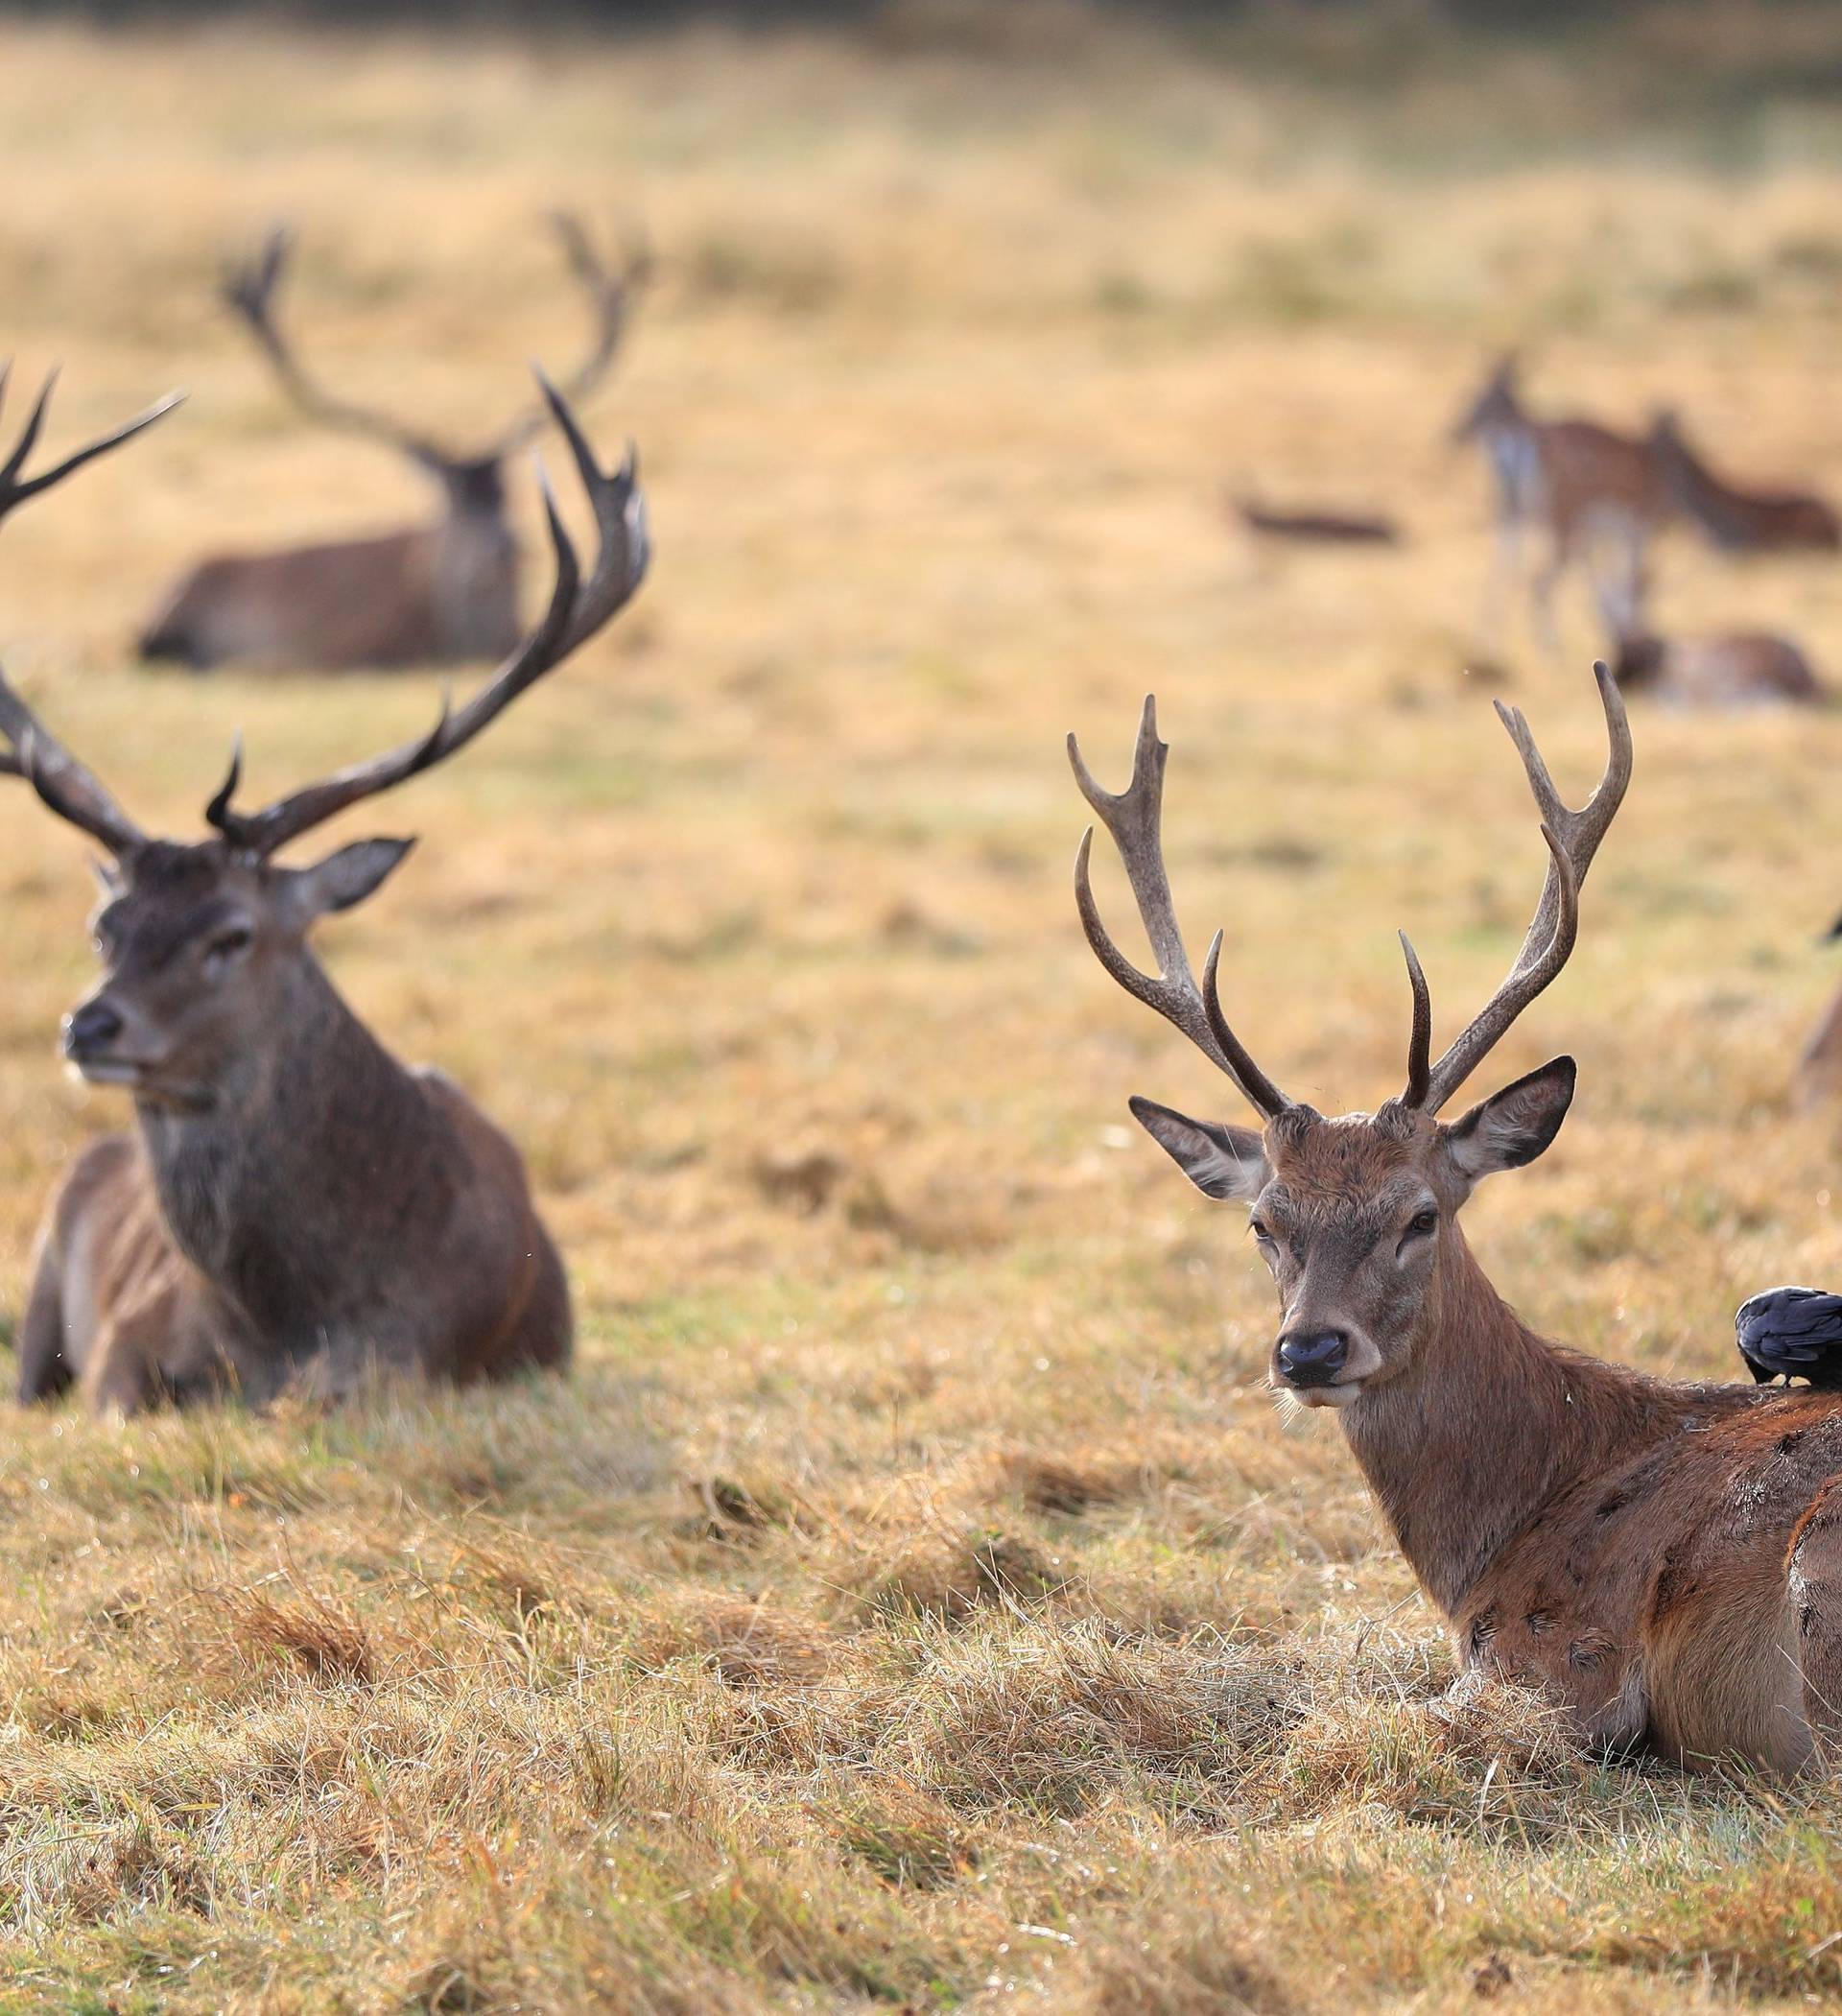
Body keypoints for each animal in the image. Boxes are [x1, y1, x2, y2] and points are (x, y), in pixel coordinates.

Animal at [7, 381, 649, 1419]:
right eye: (106, 926)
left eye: (232, 934)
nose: (90, 1026)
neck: (280, 1325)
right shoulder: (122, 1342)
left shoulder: (411, 1366)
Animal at [1458, 352, 1676, 652]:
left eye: (1485, 394)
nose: (1459, 429)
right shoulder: (1635, 526)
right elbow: (1623, 584)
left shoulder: (1600, 532)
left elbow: (1602, 581)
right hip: (1559, 517)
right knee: (1537, 581)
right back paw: (1550, 649)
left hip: (1511, 509)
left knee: (1506, 563)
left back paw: (1487, 637)